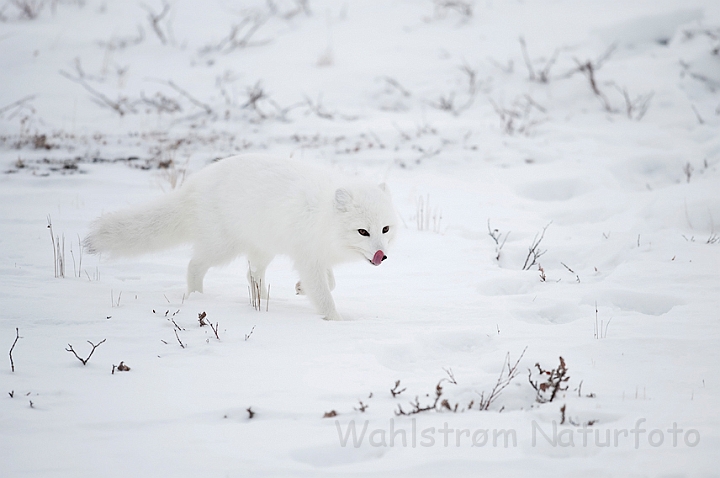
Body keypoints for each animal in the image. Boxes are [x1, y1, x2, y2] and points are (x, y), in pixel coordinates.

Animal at [86, 155, 400, 322]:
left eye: (385, 229)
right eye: (363, 231)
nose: (382, 256)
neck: (323, 216)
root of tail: (194, 184)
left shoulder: (316, 254)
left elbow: (330, 282)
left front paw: (299, 288)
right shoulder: (308, 257)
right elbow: (324, 294)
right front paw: (336, 322)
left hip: (262, 248)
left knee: (252, 275)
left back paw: (262, 301)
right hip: (222, 247)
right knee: (194, 265)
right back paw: (199, 297)